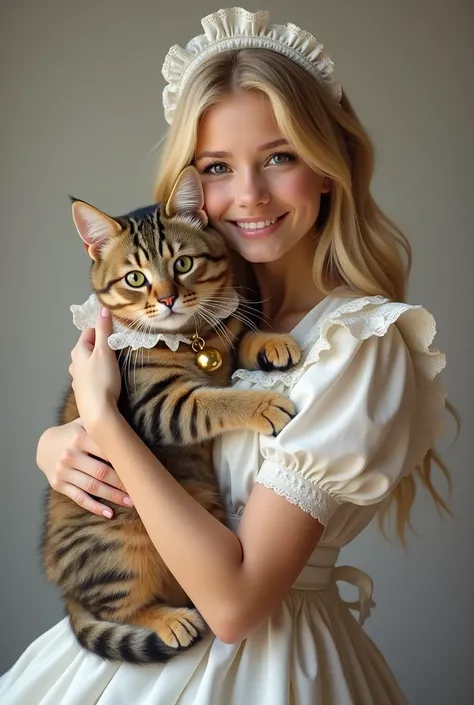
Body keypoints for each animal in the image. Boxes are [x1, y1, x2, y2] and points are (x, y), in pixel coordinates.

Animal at [39, 168, 300, 664]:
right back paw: (170, 621)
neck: (192, 340)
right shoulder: (159, 405)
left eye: (182, 265)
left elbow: (243, 337)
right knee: (122, 608)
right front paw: (261, 405)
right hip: (120, 543)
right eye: (135, 278)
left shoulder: (224, 343)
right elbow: (216, 401)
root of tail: (64, 593)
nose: (167, 299)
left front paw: (273, 341)